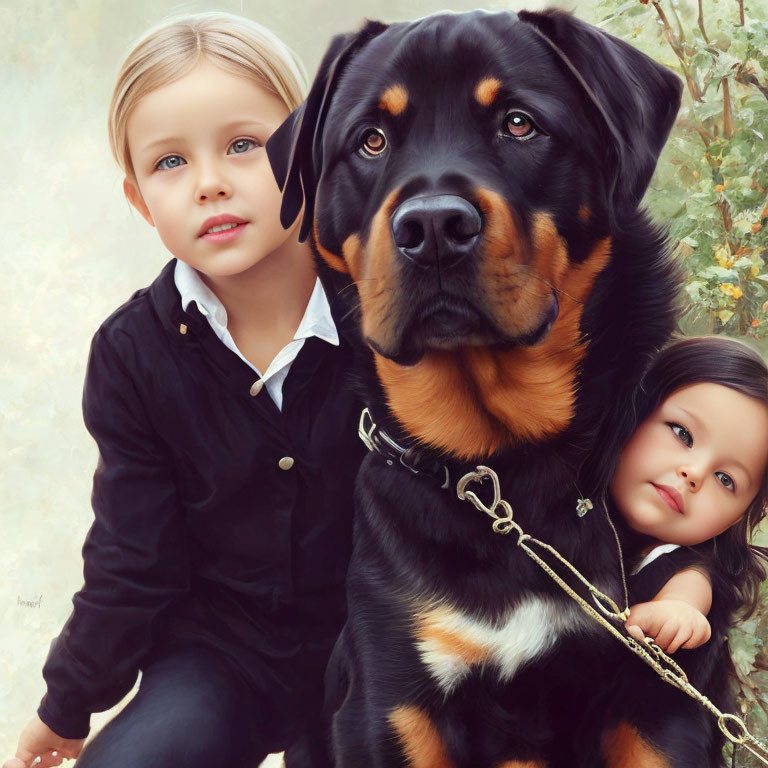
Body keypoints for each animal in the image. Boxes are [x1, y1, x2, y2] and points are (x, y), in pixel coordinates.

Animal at [268, 7, 728, 768]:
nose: (432, 226)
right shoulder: (393, 698)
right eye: (370, 140)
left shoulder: (657, 687)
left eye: (519, 123)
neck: (501, 466)